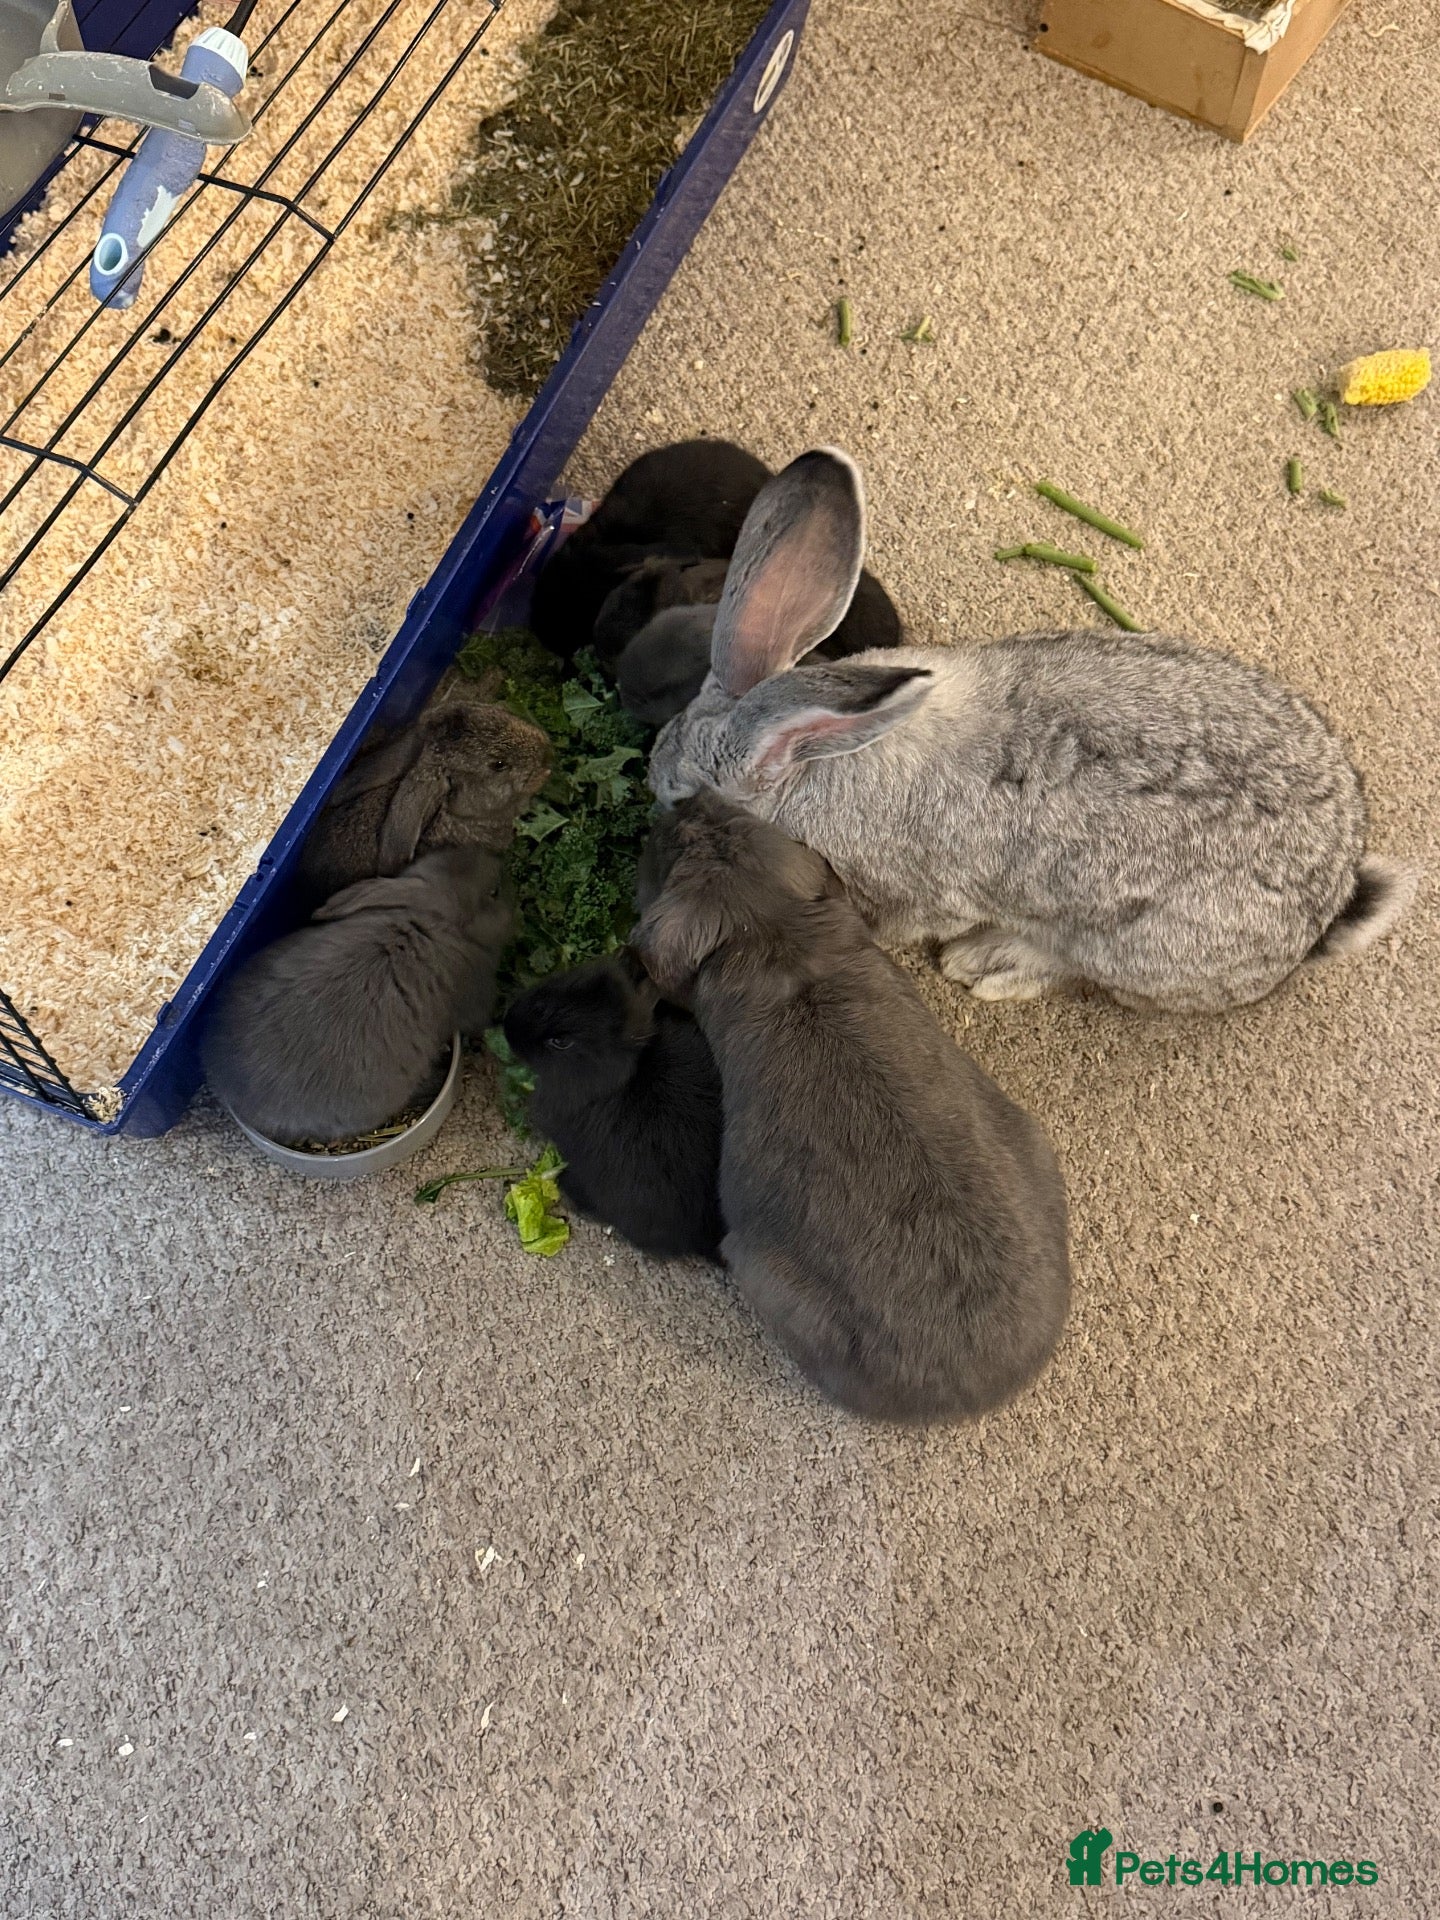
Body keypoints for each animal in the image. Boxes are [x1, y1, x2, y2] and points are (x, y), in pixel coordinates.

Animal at [647, 447, 1417, 1013]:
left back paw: (986, 965)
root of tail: (1324, 917)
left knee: (1073, 971)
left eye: (683, 797)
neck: (820, 756)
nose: (652, 779)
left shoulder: (910, 895)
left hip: (1123, 948)